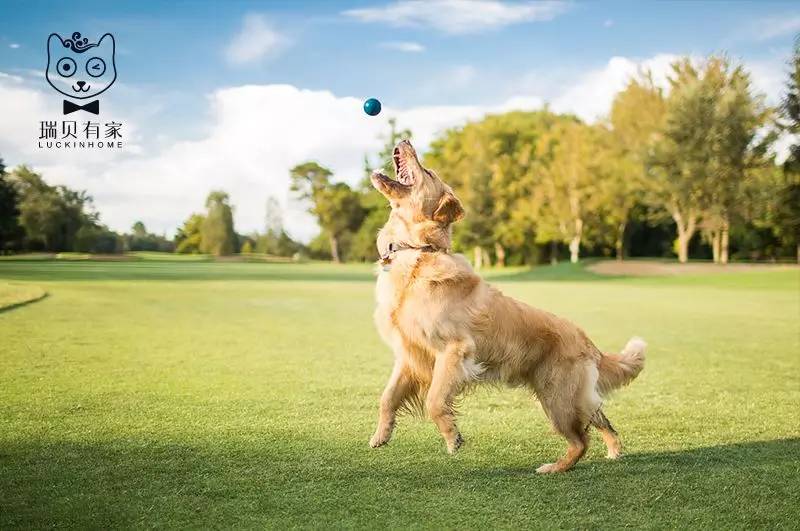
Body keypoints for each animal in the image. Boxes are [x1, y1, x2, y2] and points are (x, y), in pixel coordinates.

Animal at [368, 140, 644, 474]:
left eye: (428, 172)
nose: (406, 141)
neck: (418, 252)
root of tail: (589, 342)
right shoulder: (409, 355)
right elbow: (387, 398)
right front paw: (381, 435)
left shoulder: (455, 350)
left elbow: (435, 400)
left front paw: (452, 437)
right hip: (569, 397)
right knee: (601, 419)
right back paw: (614, 451)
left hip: (557, 398)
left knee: (581, 441)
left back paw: (554, 468)